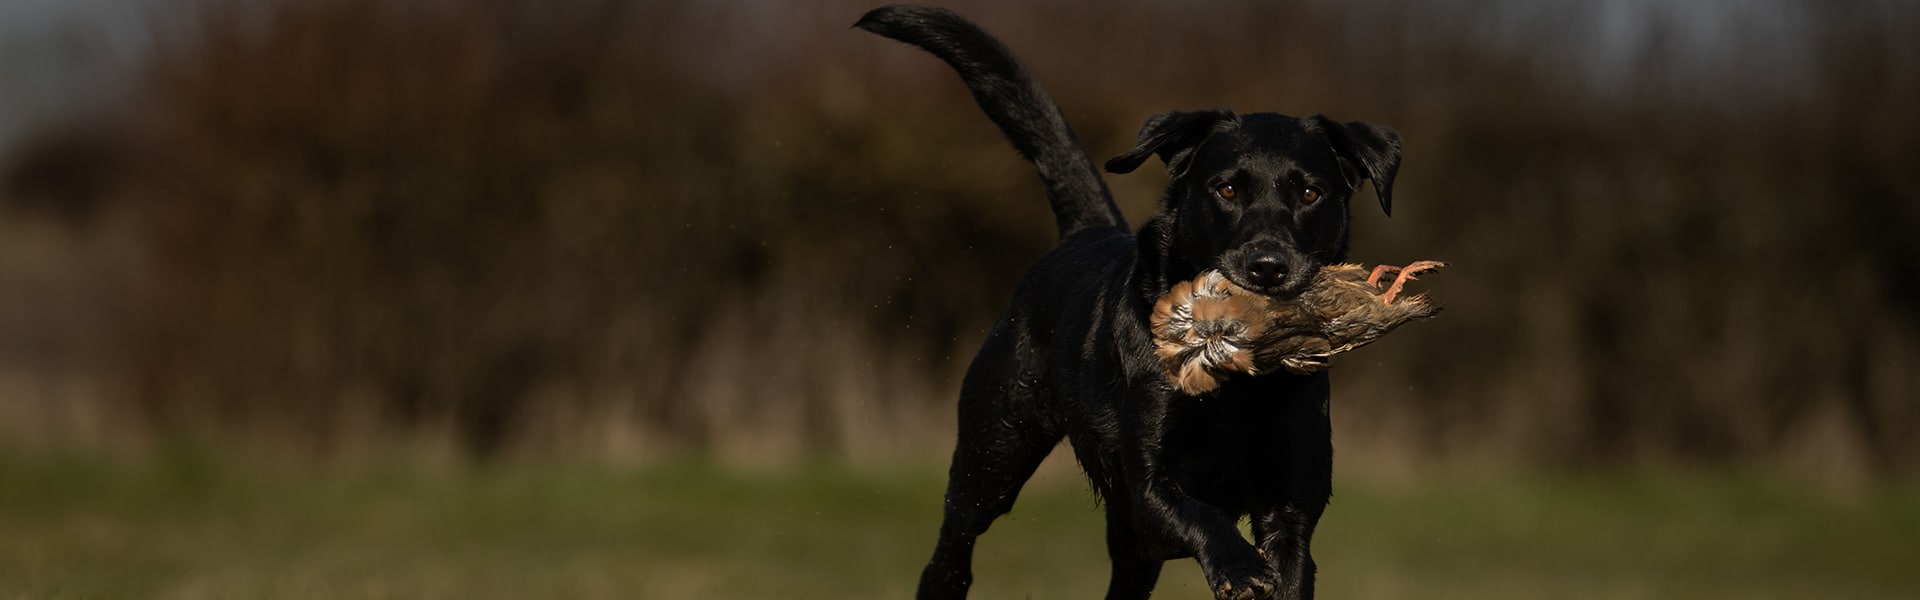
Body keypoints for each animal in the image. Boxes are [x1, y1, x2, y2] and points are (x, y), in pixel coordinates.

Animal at [856, 5, 1397, 600]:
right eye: (1227, 190)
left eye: (1309, 193)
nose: (1268, 265)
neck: (1238, 382)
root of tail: (1086, 231)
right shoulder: (1148, 493)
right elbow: (1202, 513)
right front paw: (1240, 566)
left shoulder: (1292, 501)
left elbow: (1286, 555)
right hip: (995, 446)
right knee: (956, 535)